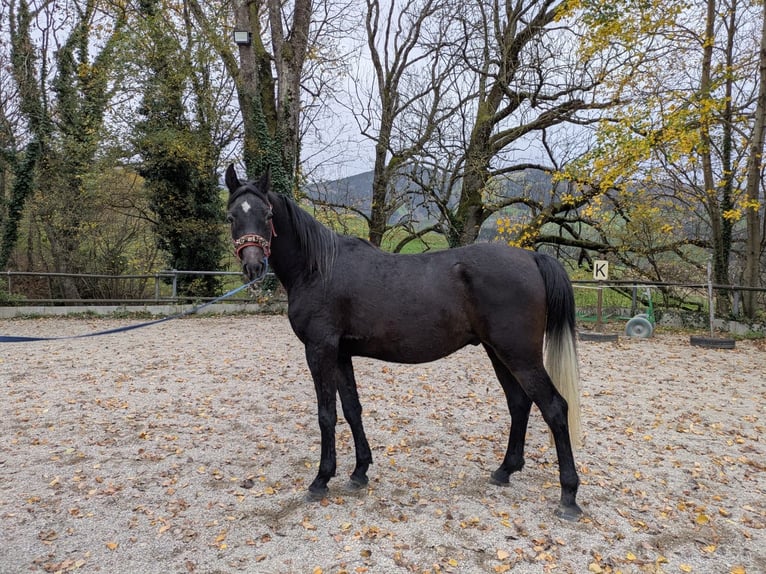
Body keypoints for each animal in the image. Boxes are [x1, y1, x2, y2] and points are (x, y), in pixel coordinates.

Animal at [224, 165, 584, 520]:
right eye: (231, 216)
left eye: (267, 214)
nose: (253, 265)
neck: (317, 268)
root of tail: (532, 258)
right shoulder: (340, 354)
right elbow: (352, 409)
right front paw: (359, 472)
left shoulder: (319, 350)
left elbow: (326, 414)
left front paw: (321, 479)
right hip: (499, 353)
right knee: (519, 403)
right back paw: (504, 470)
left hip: (520, 355)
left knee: (554, 407)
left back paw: (568, 496)